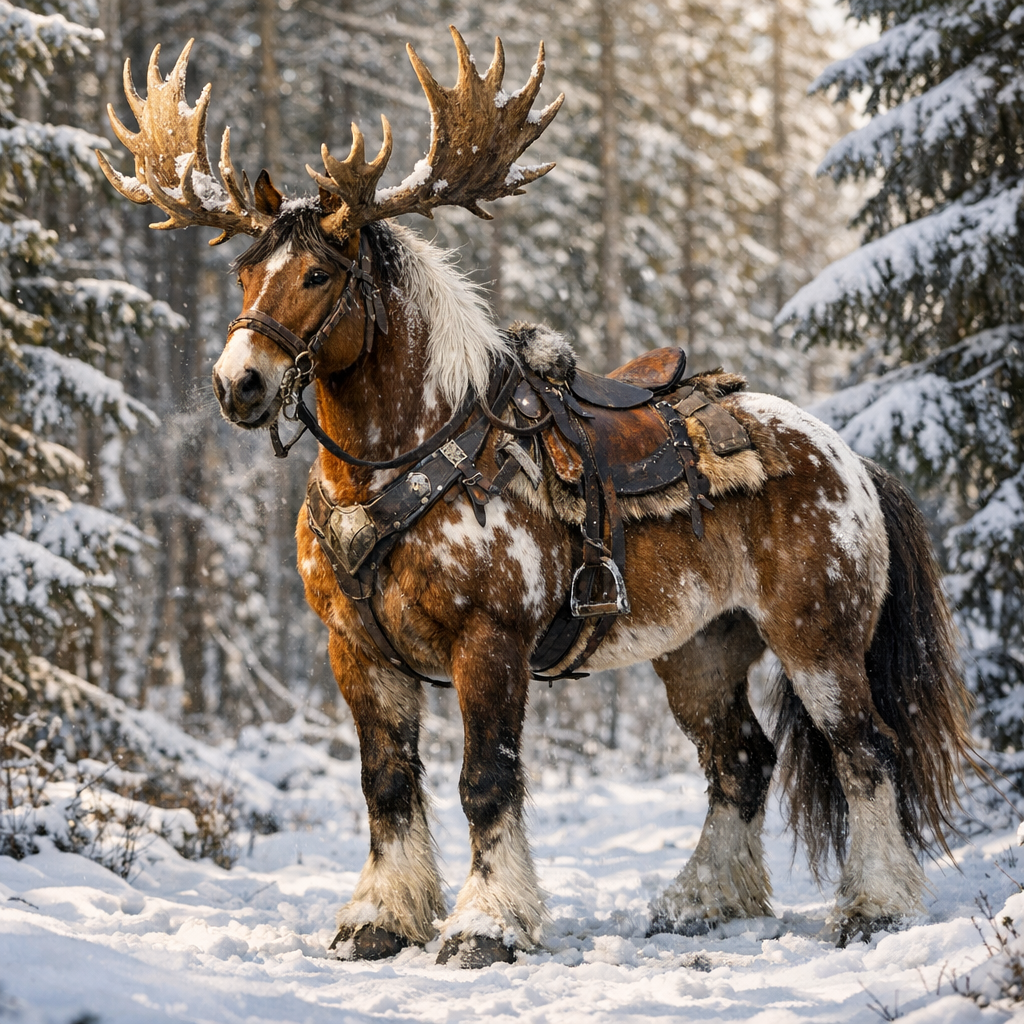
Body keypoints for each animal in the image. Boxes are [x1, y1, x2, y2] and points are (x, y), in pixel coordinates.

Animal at [98, 30, 973, 968]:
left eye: (320, 275)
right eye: (242, 270)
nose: (240, 384)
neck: (398, 464)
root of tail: (849, 458)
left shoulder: (491, 641)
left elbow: (487, 779)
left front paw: (486, 922)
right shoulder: (356, 649)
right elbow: (385, 783)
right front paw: (381, 916)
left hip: (818, 637)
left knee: (865, 751)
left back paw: (874, 905)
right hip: (700, 649)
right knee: (741, 761)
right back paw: (702, 900)